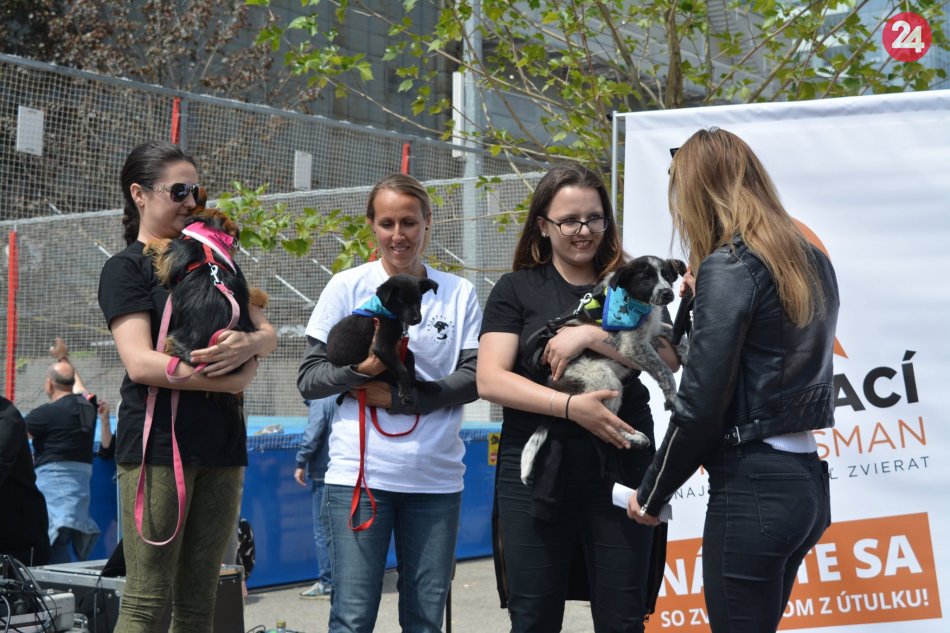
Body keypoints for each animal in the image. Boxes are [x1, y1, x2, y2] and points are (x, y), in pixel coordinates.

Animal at [143, 198, 268, 372]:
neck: (208, 243)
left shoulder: (173, 256)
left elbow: (166, 245)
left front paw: (152, 243)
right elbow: (247, 290)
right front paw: (260, 296)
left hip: (172, 342)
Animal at [326, 274, 438, 405]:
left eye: (419, 300)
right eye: (401, 301)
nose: (417, 319)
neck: (388, 313)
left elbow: (410, 358)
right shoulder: (382, 346)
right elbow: (403, 370)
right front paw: (405, 393)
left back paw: (428, 386)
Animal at [521, 255, 689, 483]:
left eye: (667, 276)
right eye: (646, 278)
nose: (668, 294)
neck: (635, 303)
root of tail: (558, 391)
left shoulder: (653, 330)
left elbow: (674, 334)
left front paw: (687, 353)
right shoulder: (632, 346)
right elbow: (665, 371)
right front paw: (671, 396)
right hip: (604, 378)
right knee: (606, 423)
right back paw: (633, 436)